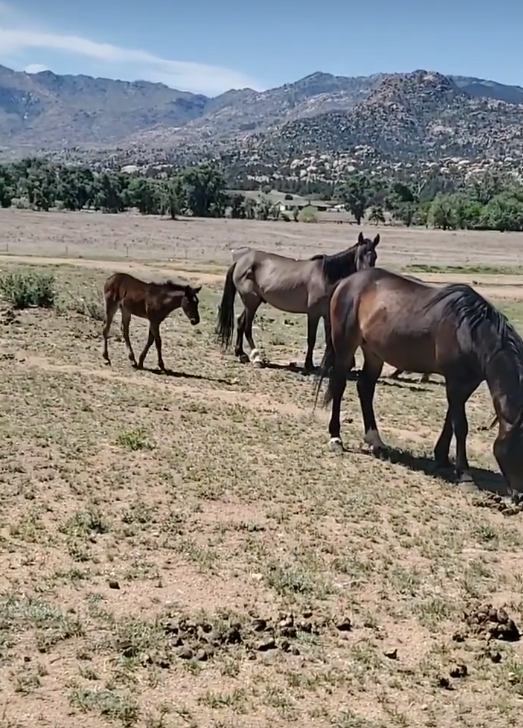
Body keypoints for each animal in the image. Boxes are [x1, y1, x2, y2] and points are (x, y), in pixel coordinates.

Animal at [215, 232, 380, 371]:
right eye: (360, 256)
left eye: (374, 256)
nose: (368, 275)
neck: (326, 276)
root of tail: (240, 262)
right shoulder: (313, 313)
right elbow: (312, 339)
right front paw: (309, 365)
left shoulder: (327, 314)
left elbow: (329, 339)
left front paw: (329, 364)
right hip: (251, 302)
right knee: (247, 327)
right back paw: (256, 358)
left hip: (252, 302)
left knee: (240, 323)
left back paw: (241, 354)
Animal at [313, 267, 523, 502]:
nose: (520, 495)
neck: (471, 331)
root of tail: (346, 281)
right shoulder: (455, 380)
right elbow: (460, 426)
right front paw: (465, 476)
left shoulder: (468, 383)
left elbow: (450, 419)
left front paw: (441, 457)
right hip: (345, 346)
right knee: (339, 386)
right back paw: (336, 438)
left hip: (374, 352)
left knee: (365, 388)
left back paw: (376, 441)